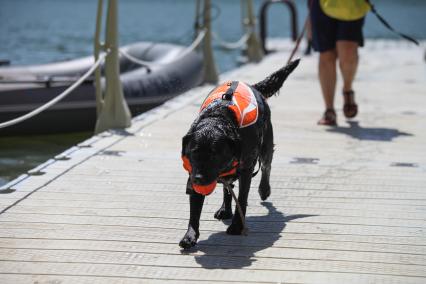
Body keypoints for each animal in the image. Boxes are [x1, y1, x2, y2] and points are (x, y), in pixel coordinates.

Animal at [180, 60, 300, 248]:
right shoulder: (192, 173)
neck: (219, 117)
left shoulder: (246, 169)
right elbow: (195, 211)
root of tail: (254, 87)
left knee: (266, 167)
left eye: (215, 154)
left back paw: (264, 189)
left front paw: (237, 226)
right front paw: (190, 236)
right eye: (194, 152)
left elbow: (242, 199)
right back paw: (225, 209)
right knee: (227, 185)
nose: (198, 178)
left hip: (266, 145)